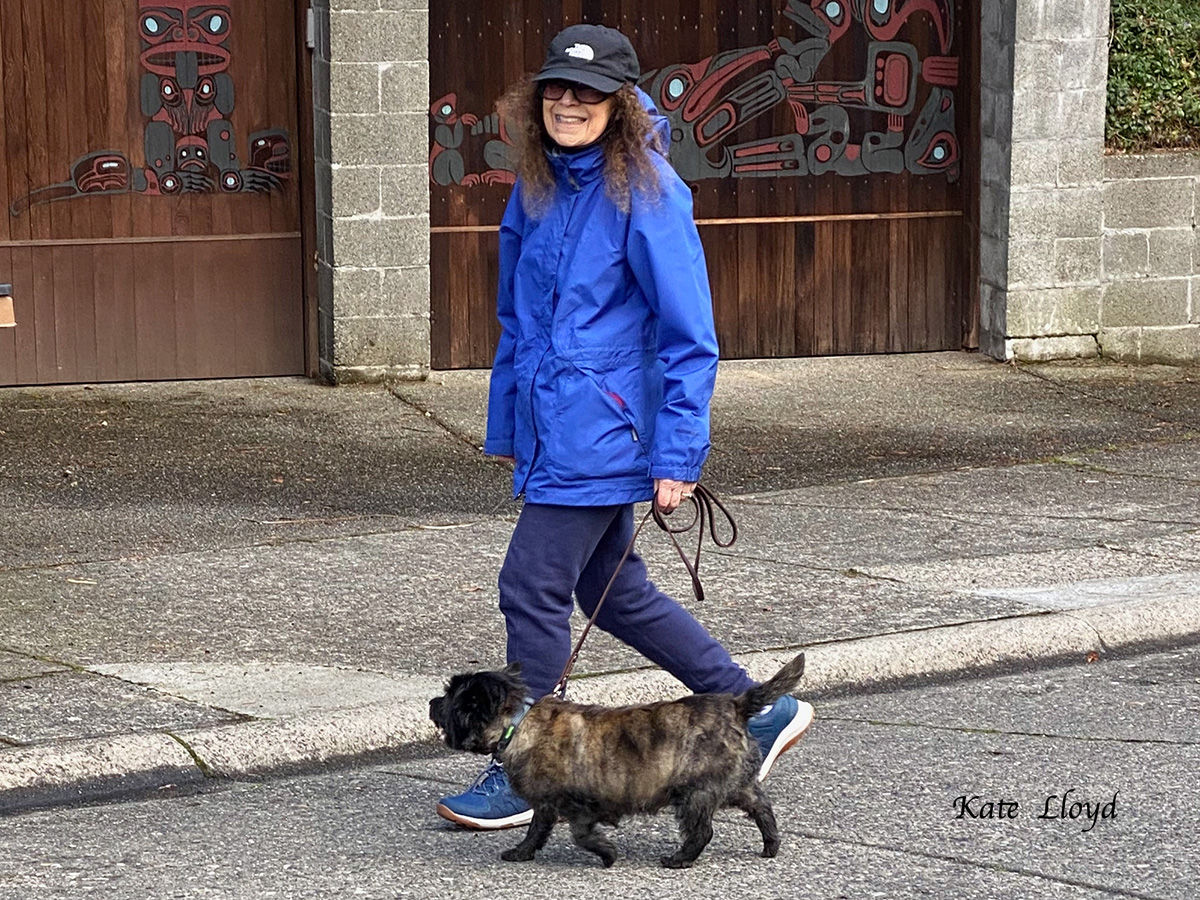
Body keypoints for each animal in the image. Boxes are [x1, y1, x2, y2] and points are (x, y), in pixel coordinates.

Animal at [429, 652, 806, 868]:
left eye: (451, 698)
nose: (432, 702)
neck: (518, 725)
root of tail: (735, 706)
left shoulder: (576, 805)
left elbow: (578, 834)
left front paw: (607, 853)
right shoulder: (547, 805)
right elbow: (537, 830)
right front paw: (523, 853)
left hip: (696, 793)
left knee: (702, 831)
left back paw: (679, 859)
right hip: (737, 784)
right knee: (762, 808)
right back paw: (771, 845)